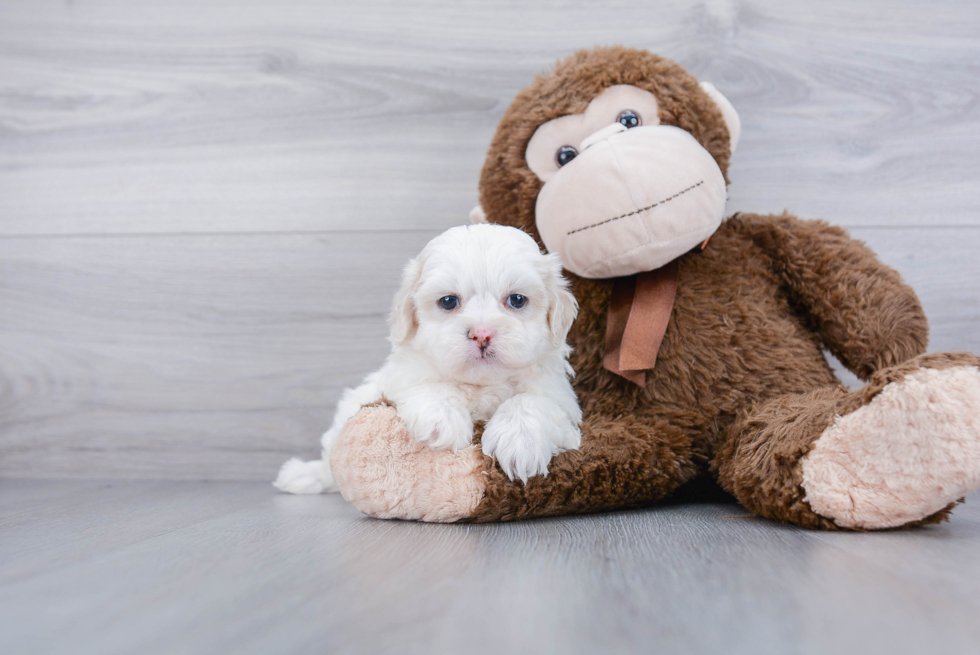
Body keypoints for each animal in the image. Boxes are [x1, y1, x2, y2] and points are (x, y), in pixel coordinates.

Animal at [274, 223, 580, 494]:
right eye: (448, 301)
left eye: (517, 300)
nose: (482, 333)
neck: (481, 386)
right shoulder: (402, 378)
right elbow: (432, 386)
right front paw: (442, 419)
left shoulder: (560, 400)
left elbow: (531, 401)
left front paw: (519, 441)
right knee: (330, 462)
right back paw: (303, 475)